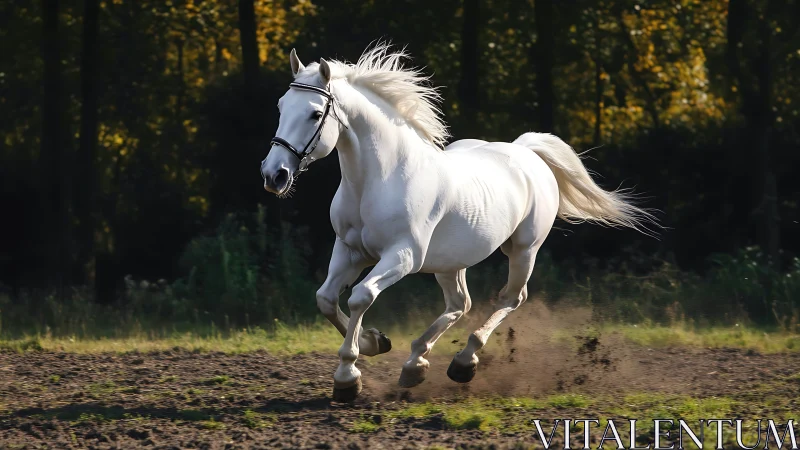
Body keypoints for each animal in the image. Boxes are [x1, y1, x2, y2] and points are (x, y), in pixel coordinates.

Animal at [260, 43, 658, 401]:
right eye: (280, 106)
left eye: (314, 114)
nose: (274, 175)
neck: (380, 178)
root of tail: (525, 150)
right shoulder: (350, 250)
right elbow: (326, 299)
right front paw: (375, 342)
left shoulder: (402, 257)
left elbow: (360, 297)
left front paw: (348, 377)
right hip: (451, 262)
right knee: (459, 304)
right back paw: (415, 365)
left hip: (522, 250)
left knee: (510, 297)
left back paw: (464, 363)